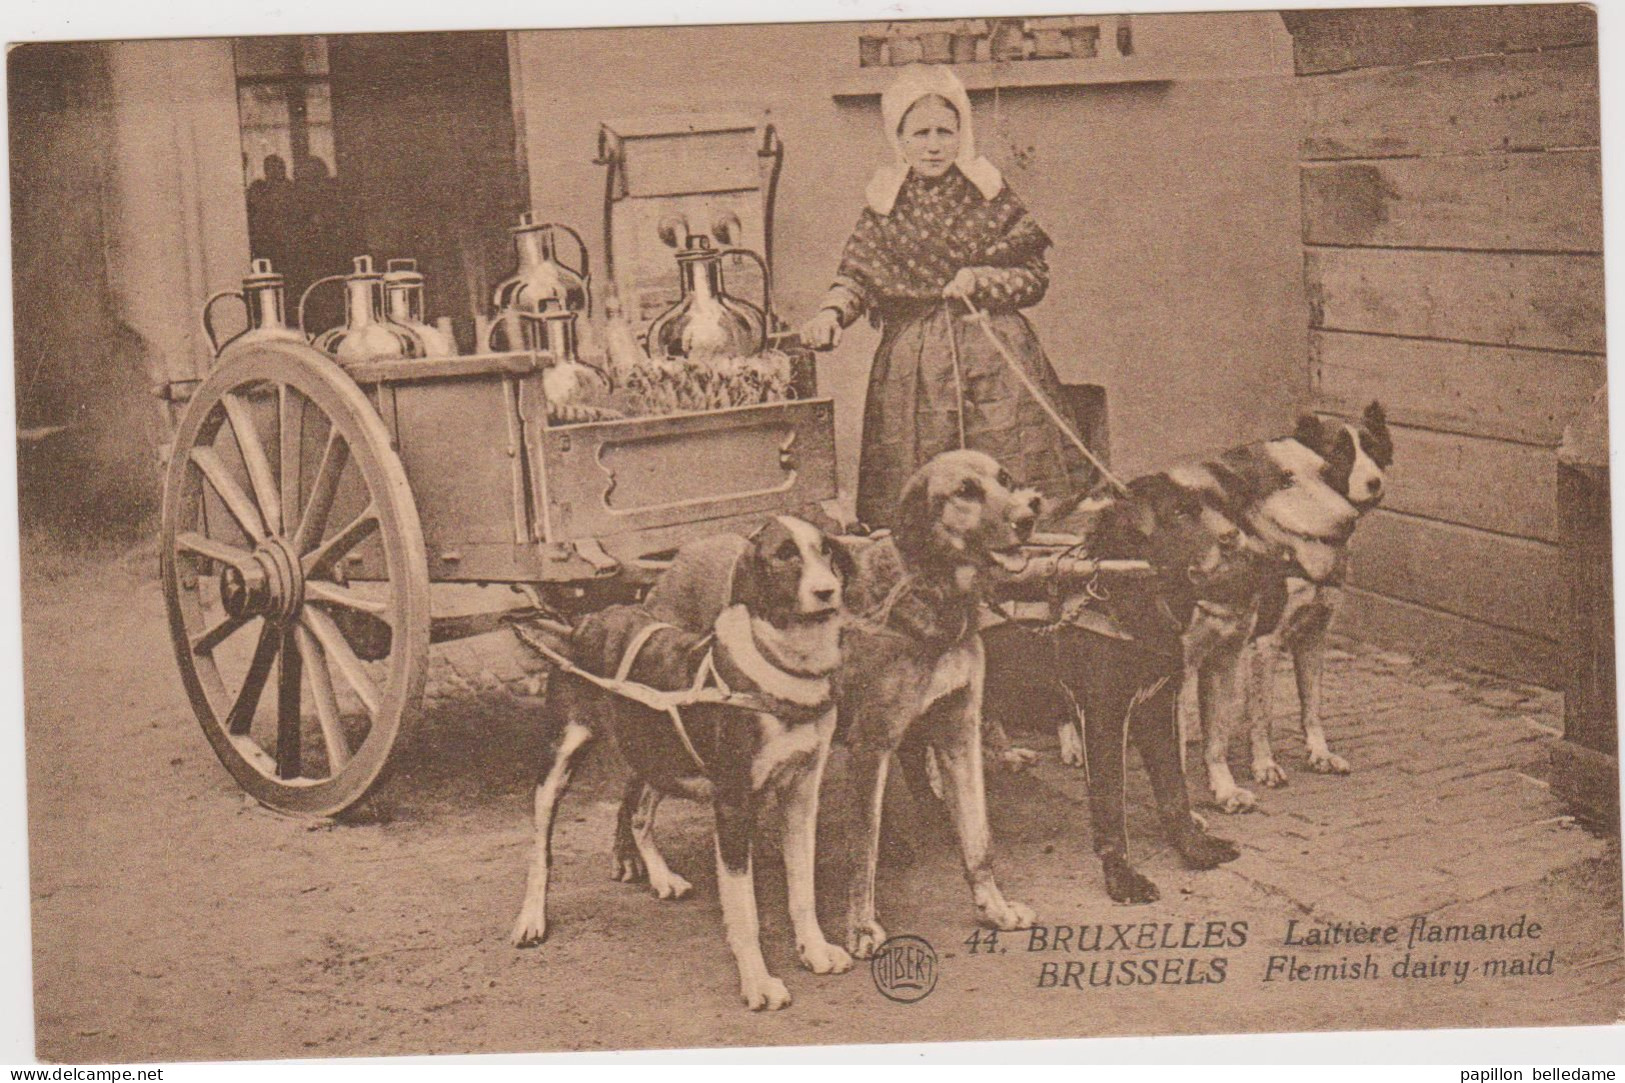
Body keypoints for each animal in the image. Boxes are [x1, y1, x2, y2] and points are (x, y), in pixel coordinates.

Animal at [513, 513, 858, 1001]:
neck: (782, 669)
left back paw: (659, 875)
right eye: (784, 555)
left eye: (825, 549)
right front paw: (757, 982)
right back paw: (531, 918)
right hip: (561, 759)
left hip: (658, 754)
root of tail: (583, 624)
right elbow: (744, 910)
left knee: (638, 811)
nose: (828, 591)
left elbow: (802, 888)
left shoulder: (801, 793)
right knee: (540, 850)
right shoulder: (733, 805)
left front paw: (815, 950)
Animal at [838, 445, 1040, 956]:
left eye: (1005, 479)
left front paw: (995, 910)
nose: (1030, 514)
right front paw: (861, 927)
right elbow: (861, 849)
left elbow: (978, 840)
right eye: (965, 491)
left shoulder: (958, 731)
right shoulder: (870, 743)